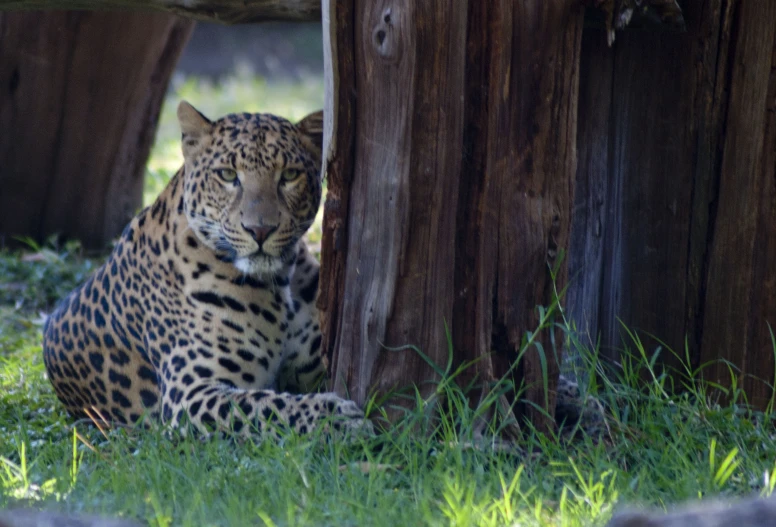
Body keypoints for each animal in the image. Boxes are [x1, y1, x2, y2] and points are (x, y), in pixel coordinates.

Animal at [43, 101, 370, 440]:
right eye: (228, 175)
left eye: (290, 175)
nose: (260, 230)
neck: (278, 284)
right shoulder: (189, 394)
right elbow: (265, 407)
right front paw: (339, 419)